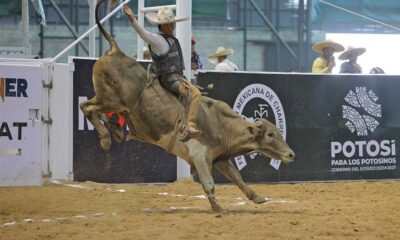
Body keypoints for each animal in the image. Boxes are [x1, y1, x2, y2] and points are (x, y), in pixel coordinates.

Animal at [80, 0, 294, 214]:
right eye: (271, 134)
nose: (291, 154)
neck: (220, 124)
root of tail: (115, 50)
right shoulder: (199, 155)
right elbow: (209, 183)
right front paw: (218, 208)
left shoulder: (221, 158)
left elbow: (238, 178)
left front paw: (257, 197)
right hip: (112, 100)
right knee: (86, 107)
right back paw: (105, 138)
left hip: (114, 104)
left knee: (96, 110)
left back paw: (115, 130)